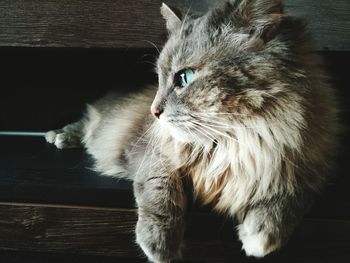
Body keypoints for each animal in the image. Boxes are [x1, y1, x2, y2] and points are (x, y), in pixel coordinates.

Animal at [45, 1, 340, 262]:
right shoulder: (154, 155)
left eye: (184, 78)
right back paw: (58, 136)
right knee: (84, 123)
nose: (154, 111)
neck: (234, 140)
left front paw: (260, 235)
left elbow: (288, 198)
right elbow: (160, 191)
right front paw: (159, 244)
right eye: (159, 79)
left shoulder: (307, 169)